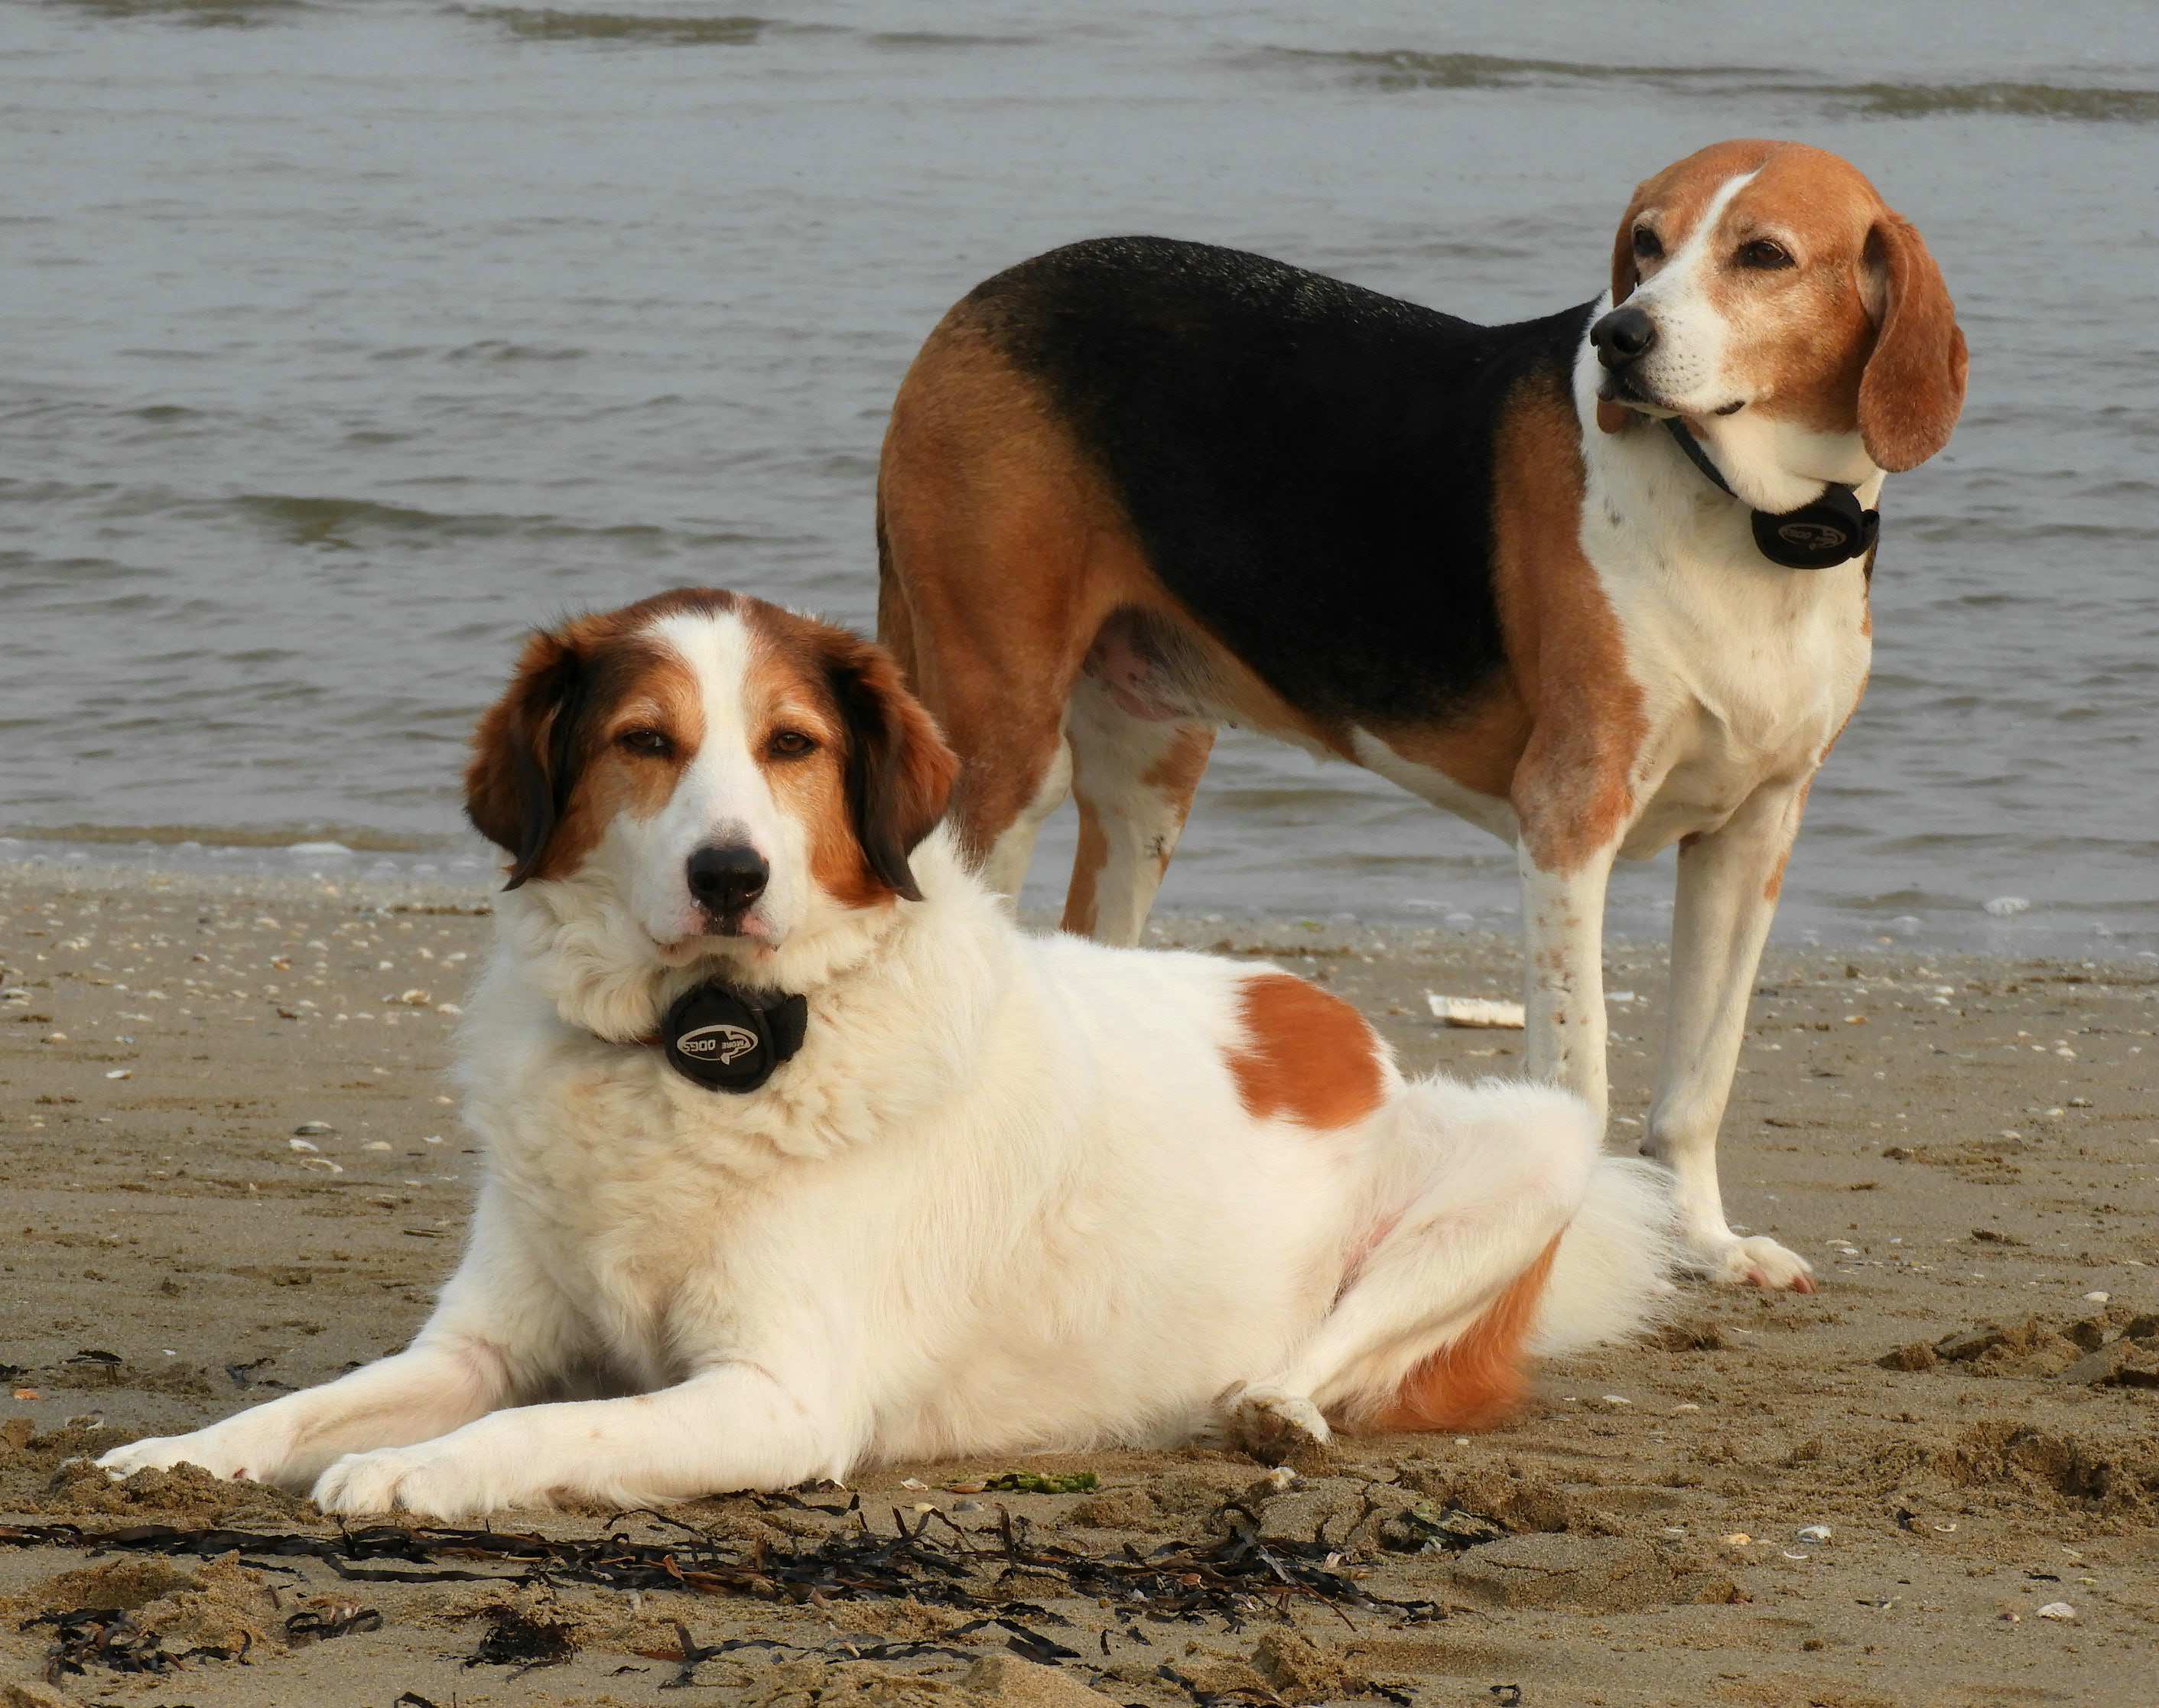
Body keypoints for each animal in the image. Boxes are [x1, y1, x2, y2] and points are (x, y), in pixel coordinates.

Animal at [101, 591, 1666, 1520]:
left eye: (791, 745)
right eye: (643, 742)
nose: (730, 874)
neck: (702, 1046)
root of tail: (1335, 1021)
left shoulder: (778, 1398)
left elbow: (543, 1435)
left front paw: (410, 1471)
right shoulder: (478, 1342)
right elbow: (312, 1400)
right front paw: (185, 1452)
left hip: (1540, 1141)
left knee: (1336, 1356)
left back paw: (1268, 1405)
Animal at [880, 140, 1977, 1287]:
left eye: (1762, 255)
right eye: (1645, 243)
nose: (1619, 338)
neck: (1748, 518)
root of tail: (978, 300)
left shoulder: (1753, 832)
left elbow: (1698, 1080)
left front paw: (1706, 1242)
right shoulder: (1568, 816)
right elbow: (1579, 1073)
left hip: (1148, 781)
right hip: (1002, 749)